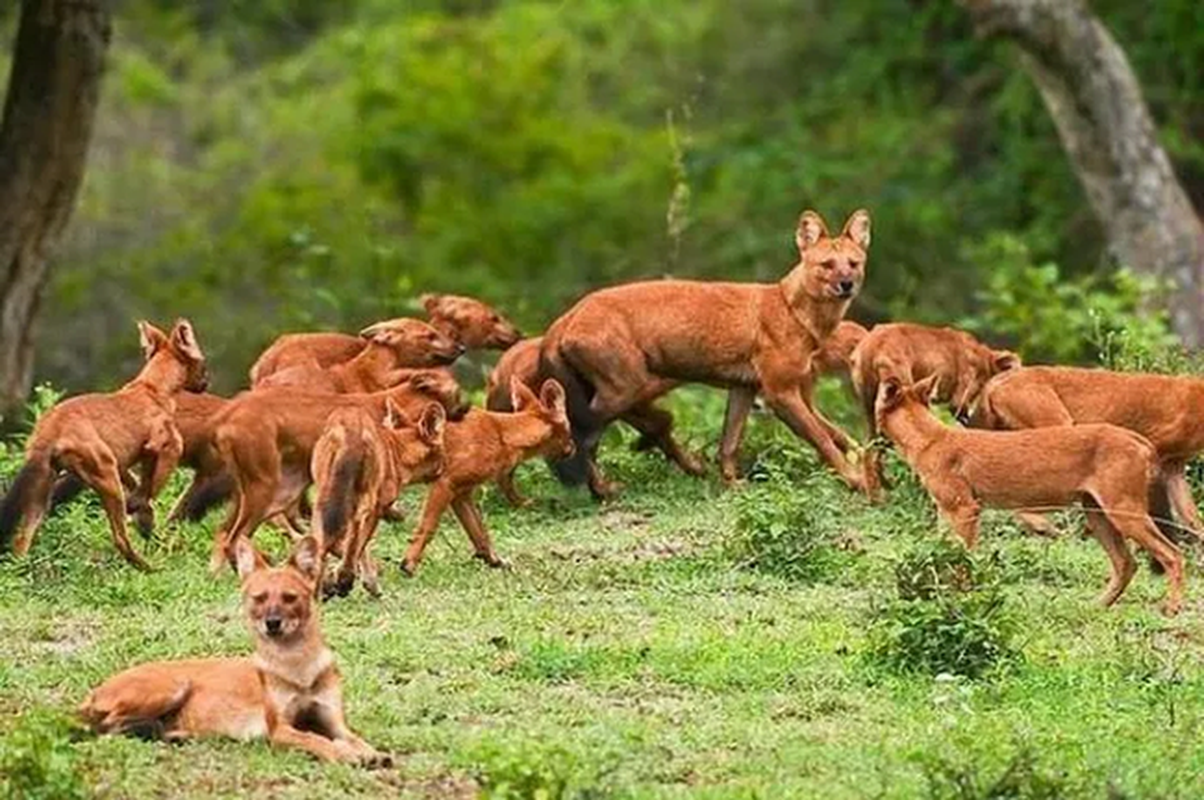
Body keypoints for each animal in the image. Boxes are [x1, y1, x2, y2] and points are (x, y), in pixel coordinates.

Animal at [0, 318, 207, 568]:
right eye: (204, 365)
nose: (206, 383)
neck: (152, 387)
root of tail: (48, 430)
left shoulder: (125, 462)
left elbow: (140, 484)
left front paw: (144, 516)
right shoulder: (168, 448)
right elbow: (151, 489)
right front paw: (142, 515)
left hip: (44, 487)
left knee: (22, 538)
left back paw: (21, 570)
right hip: (106, 476)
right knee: (119, 538)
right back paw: (148, 567)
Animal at [80, 534, 387, 766]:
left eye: (290, 598)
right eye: (259, 598)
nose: (272, 623)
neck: (296, 665)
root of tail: (94, 690)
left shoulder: (334, 720)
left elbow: (353, 737)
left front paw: (371, 752)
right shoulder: (279, 729)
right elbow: (316, 739)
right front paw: (344, 754)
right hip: (174, 686)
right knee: (104, 726)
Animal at [541, 207, 871, 493]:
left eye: (854, 263)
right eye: (827, 264)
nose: (846, 284)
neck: (794, 311)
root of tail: (567, 316)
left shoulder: (744, 388)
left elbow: (730, 443)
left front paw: (733, 484)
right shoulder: (780, 392)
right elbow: (822, 438)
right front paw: (856, 480)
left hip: (621, 387)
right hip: (627, 386)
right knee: (583, 432)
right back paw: (604, 488)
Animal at [876, 375, 1184, 612]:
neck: (928, 438)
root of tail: (1138, 438)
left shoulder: (965, 509)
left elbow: (962, 557)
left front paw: (961, 596)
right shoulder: (945, 510)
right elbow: (941, 552)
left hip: (1124, 513)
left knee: (1172, 553)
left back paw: (1172, 608)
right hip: (1097, 515)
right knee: (1126, 563)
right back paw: (1097, 606)